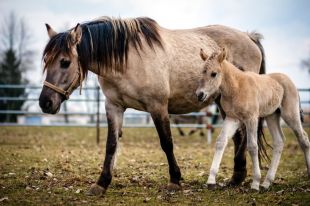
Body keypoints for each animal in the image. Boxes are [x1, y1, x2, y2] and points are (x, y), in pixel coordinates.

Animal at [38, 16, 266, 196]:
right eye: (46, 61)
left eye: (65, 62)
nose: (45, 102)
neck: (127, 59)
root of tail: (249, 37)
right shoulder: (113, 107)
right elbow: (111, 145)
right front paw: (101, 183)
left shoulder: (158, 107)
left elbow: (167, 143)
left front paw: (175, 180)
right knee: (238, 136)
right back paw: (236, 178)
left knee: (243, 135)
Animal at [196, 48, 310, 190]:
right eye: (202, 72)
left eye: (214, 74)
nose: (199, 95)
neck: (236, 87)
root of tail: (290, 81)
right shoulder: (232, 118)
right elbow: (221, 142)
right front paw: (211, 181)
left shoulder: (251, 119)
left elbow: (252, 146)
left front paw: (255, 183)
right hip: (272, 116)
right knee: (279, 141)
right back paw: (266, 183)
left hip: (290, 114)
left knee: (303, 138)